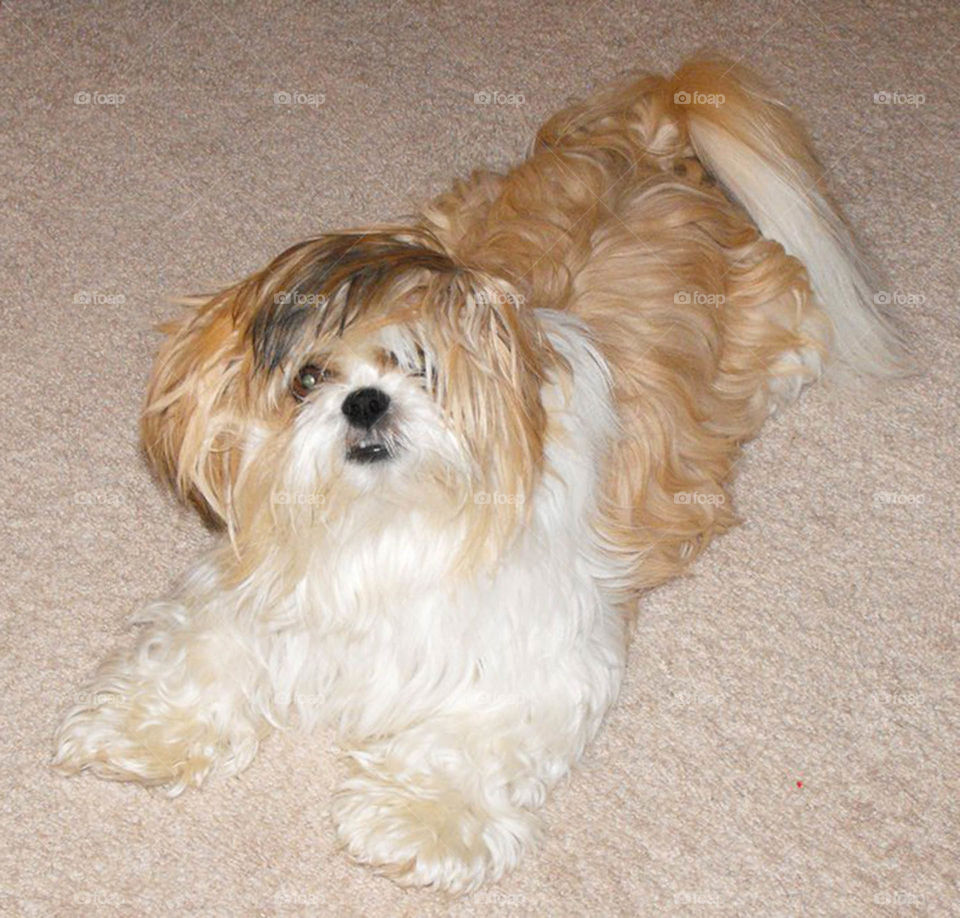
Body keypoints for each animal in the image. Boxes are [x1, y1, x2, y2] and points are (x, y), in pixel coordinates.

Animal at [56, 57, 904, 892]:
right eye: (308, 378)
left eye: (420, 366)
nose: (364, 401)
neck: (389, 526)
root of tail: (648, 146)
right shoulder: (252, 589)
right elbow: (199, 653)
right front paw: (145, 729)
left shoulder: (540, 656)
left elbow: (465, 740)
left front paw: (419, 817)